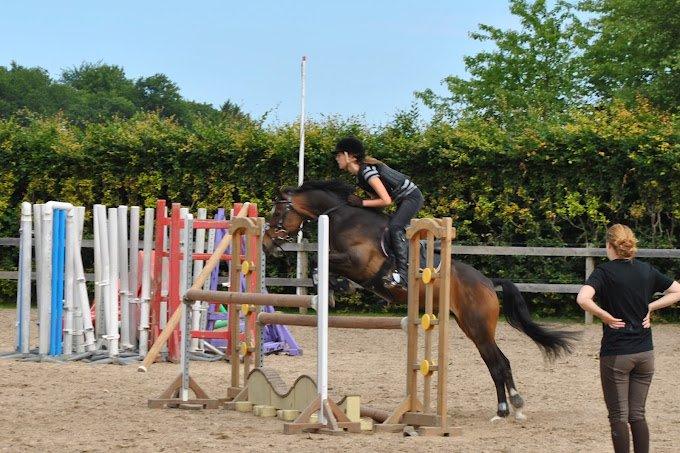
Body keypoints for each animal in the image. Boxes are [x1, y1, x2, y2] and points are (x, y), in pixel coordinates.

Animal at [262, 180, 576, 420]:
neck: (343, 217)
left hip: (478, 327)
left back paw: (504, 409)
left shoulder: (359, 263)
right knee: (501, 362)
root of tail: (488, 282)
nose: (266, 245)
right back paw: (515, 407)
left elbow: (319, 261)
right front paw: (333, 289)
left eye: (277, 210)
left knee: (498, 363)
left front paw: (336, 288)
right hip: (470, 326)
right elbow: (321, 265)